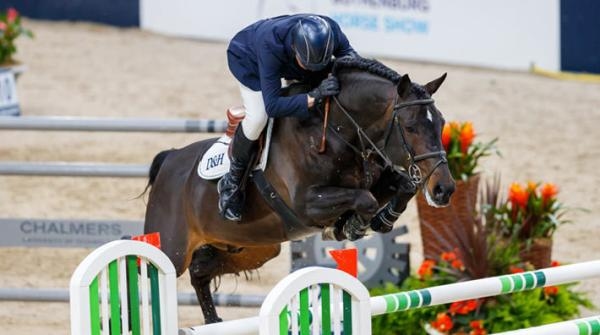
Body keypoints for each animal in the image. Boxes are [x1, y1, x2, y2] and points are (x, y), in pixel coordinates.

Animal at [144, 57, 454, 326]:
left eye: (441, 123)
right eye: (410, 127)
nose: (444, 189)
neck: (336, 131)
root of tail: (170, 159)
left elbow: (405, 186)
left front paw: (380, 220)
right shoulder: (307, 204)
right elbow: (364, 199)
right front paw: (351, 226)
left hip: (254, 247)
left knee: (200, 272)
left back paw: (213, 320)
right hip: (171, 249)